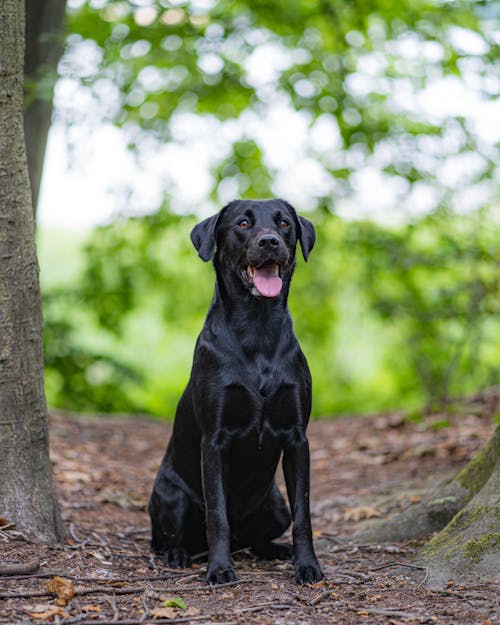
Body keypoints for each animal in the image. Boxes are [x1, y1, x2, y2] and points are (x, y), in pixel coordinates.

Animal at [149, 199, 324, 584]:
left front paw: (308, 566)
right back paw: (178, 554)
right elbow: (218, 515)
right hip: (171, 496)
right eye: (243, 223)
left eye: (285, 224)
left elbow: (304, 513)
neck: (258, 327)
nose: (270, 241)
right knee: (167, 539)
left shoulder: (297, 438)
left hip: (275, 505)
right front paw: (219, 569)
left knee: (257, 537)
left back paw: (275, 550)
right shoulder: (214, 440)